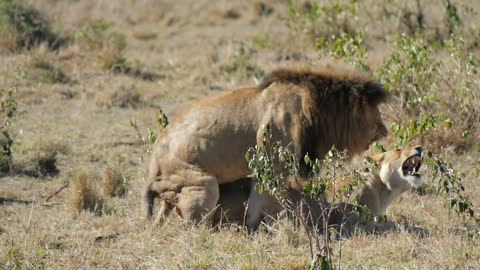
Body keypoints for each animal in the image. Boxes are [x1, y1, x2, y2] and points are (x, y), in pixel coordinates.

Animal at [144, 68, 388, 225]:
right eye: (376, 115)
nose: (386, 131)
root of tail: (151, 167)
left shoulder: (264, 167)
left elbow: (257, 200)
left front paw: (254, 226)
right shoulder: (274, 157)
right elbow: (274, 199)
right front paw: (283, 225)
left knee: (164, 213)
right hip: (202, 184)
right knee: (192, 226)